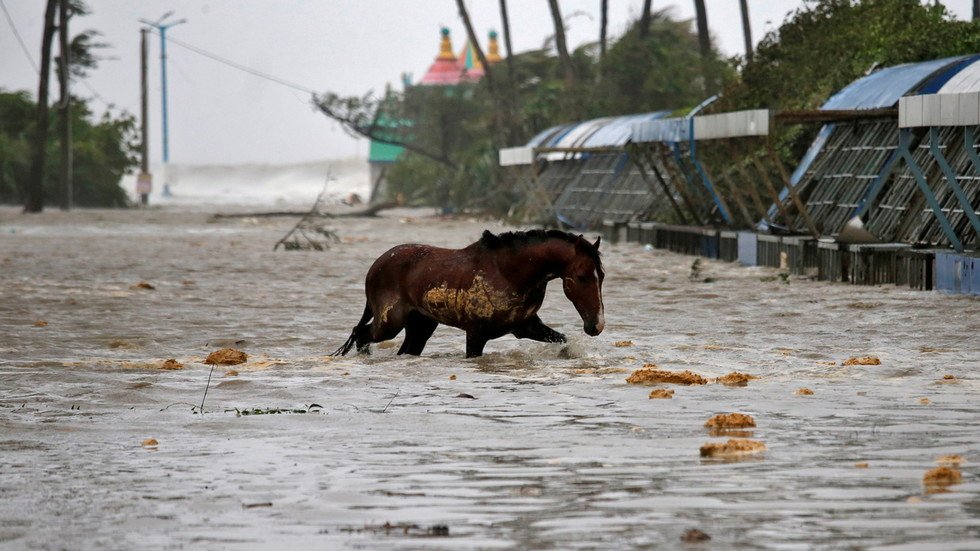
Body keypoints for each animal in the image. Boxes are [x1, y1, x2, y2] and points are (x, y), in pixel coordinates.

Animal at [334, 229, 600, 358]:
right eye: (582, 277)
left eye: (602, 276)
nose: (596, 326)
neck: (507, 273)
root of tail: (375, 267)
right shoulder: (476, 335)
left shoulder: (525, 327)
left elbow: (562, 340)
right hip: (389, 324)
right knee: (361, 334)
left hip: (421, 326)